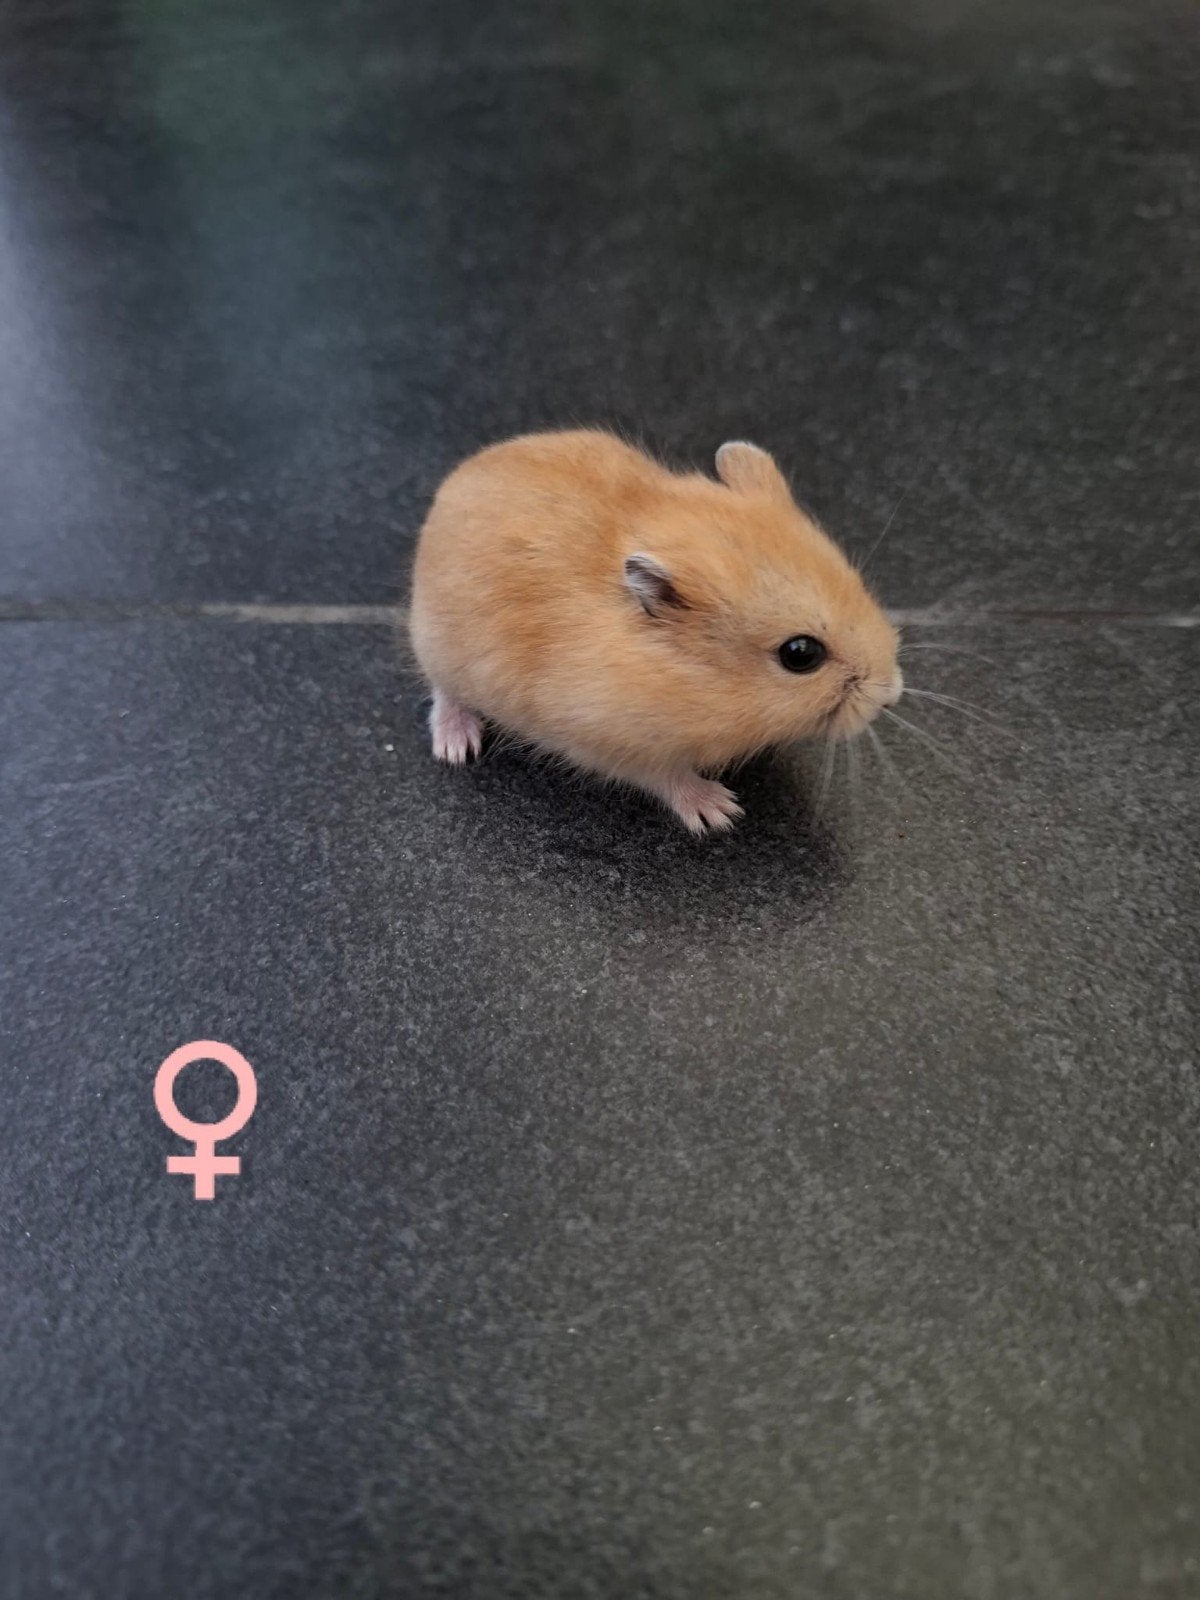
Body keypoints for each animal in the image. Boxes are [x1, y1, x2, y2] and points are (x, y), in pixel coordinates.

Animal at [408, 429, 903, 834]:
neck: (682, 676)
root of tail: (450, 488)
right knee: (444, 694)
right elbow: (669, 777)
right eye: (801, 654)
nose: (891, 694)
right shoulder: (616, 744)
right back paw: (456, 747)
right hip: (441, 650)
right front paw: (723, 813)